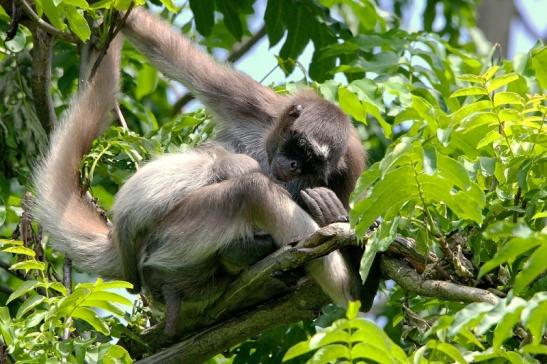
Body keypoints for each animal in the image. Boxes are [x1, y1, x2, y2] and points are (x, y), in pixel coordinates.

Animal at [32, 7, 378, 336]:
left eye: (312, 163)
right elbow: (166, 49)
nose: (294, 166)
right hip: (168, 238)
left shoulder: (349, 166)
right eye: (298, 147)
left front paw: (336, 217)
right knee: (252, 190)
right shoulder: (255, 103)